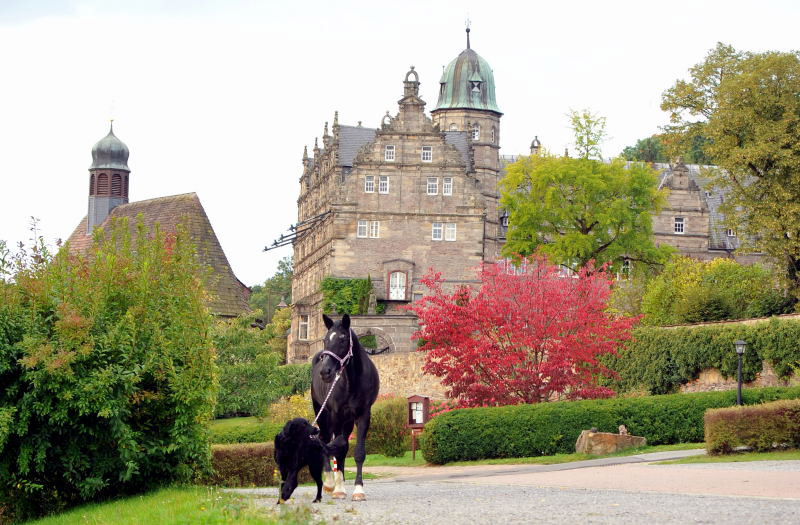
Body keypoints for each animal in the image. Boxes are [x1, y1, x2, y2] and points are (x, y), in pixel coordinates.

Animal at [310, 312, 380, 500]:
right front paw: (339, 488)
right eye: (325, 339)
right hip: (323, 415)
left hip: (347, 421)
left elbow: (358, 452)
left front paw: (358, 489)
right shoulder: (336, 415)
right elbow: (338, 450)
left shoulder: (363, 415)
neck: (352, 381)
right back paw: (329, 483)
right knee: (323, 440)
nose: (325, 372)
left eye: (342, 339)